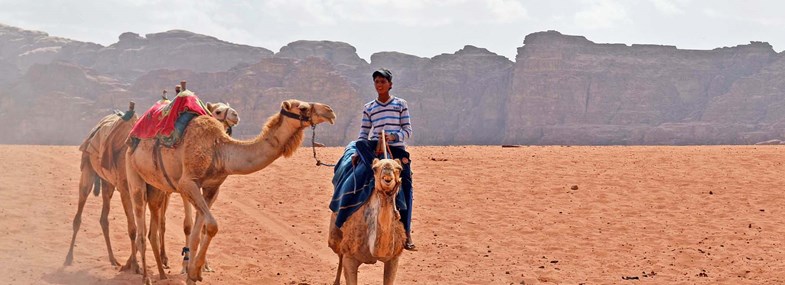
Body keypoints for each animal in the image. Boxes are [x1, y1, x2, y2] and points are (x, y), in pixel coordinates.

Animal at [65, 100, 239, 272]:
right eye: (217, 111)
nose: (235, 115)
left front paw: (202, 266)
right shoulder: (128, 189)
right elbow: (135, 228)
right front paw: (134, 265)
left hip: (109, 183)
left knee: (105, 218)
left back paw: (115, 260)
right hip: (88, 169)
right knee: (80, 211)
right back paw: (69, 258)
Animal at [127, 98, 336, 282]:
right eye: (302, 107)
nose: (330, 111)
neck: (219, 150)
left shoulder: (212, 188)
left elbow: (197, 233)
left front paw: (193, 274)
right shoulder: (187, 183)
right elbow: (212, 226)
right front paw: (194, 271)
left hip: (156, 186)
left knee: (152, 228)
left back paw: (162, 274)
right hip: (135, 178)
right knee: (140, 230)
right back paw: (145, 277)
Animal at [328, 133, 408, 284]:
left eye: (399, 169)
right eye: (375, 168)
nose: (387, 178)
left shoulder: (394, 258)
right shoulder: (350, 257)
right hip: (334, 235)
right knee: (338, 251)